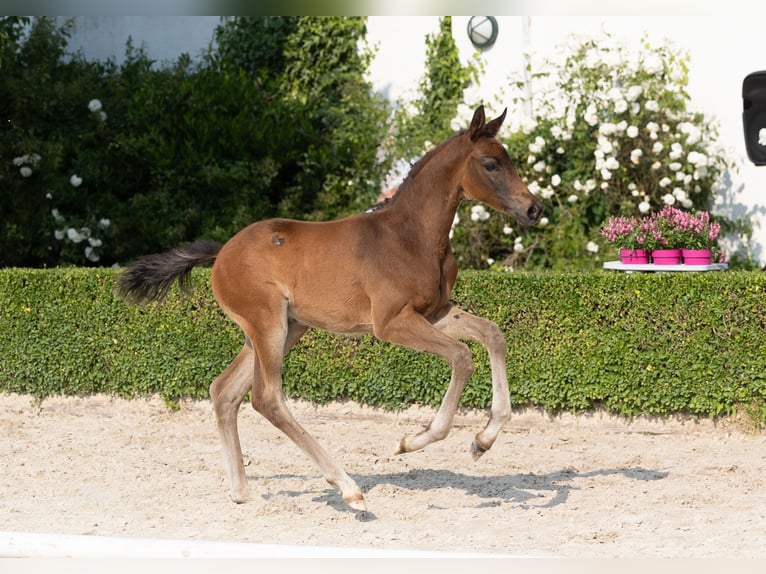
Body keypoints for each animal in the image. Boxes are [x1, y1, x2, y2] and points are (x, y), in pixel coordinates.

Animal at [117, 104, 544, 512]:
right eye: (490, 164)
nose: (533, 209)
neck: (412, 235)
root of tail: (221, 253)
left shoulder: (433, 313)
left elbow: (492, 334)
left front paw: (483, 441)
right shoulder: (390, 322)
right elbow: (461, 357)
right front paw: (414, 440)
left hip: (285, 329)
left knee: (225, 391)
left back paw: (243, 493)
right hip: (268, 325)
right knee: (267, 399)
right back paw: (348, 488)